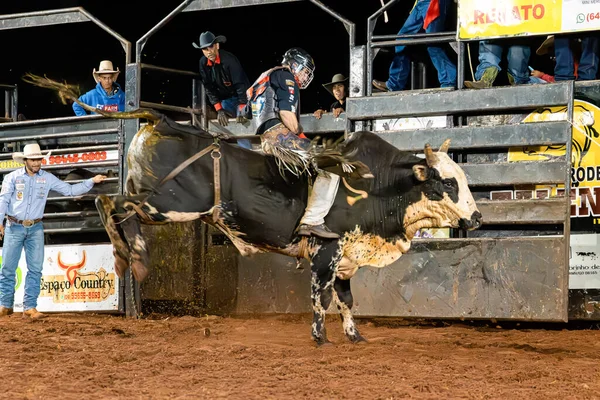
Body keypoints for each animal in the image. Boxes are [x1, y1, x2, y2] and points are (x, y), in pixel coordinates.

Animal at [98, 115, 482, 344]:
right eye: (447, 182)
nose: (477, 218)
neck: (379, 186)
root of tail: (159, 120)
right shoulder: (326, 253)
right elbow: (320, 297)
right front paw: (320, 338)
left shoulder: (346, 259)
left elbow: (346, 299)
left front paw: (354, 336)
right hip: (172, 203)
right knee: (112, 204)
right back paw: (133, 257)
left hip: (164, 203)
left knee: (115, 206)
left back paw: (126, 257)